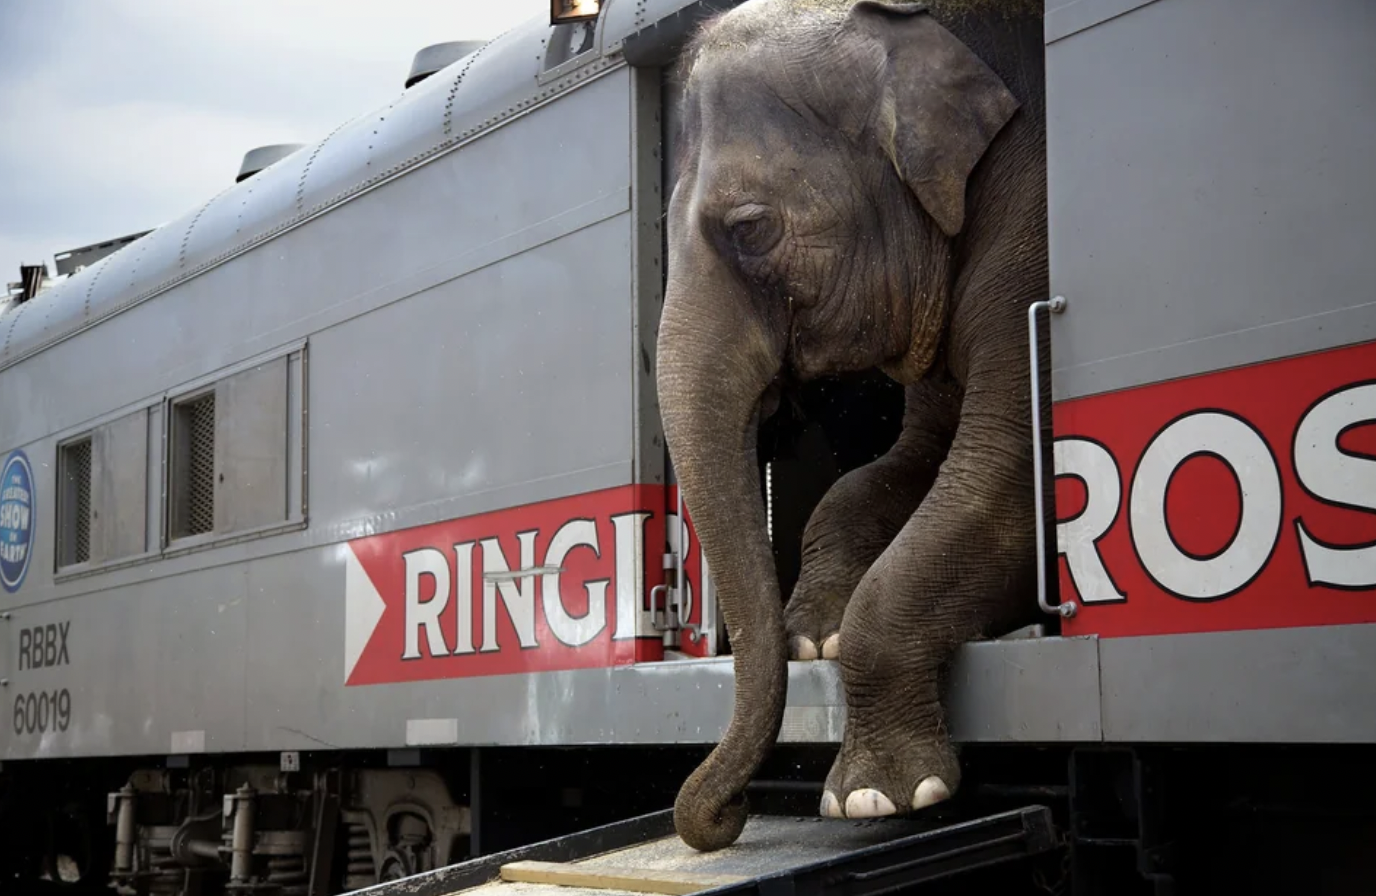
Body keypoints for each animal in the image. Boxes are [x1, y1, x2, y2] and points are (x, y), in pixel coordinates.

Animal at [654, 0, 1051, 853]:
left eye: (750, 228)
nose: (733, 814)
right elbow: (891, 470)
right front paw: (812, 635)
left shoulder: (1030, 242)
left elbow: (1000, 477)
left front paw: (876, 798)